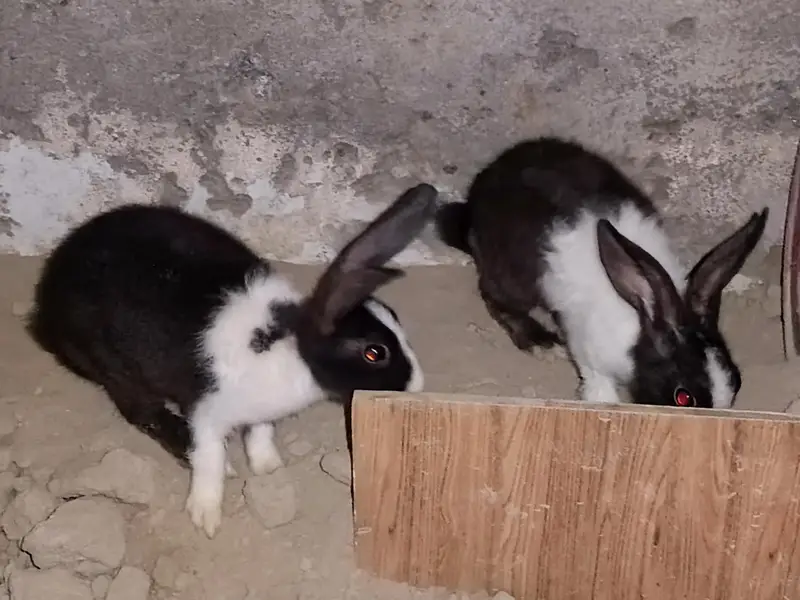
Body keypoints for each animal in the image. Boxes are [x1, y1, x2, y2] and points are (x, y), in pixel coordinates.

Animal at [27, 182, 438, 538]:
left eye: (396, 319)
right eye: (374, 352)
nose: (417, 385)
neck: (291, 347)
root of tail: (45, 310)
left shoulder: (260, 414)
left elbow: (260, 433)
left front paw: (268, 467)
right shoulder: (207, 413)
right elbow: (208, 458)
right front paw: (205, 514)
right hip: (117, 369)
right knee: (143, 413)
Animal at [435, 136, 768, 409]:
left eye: (736, 380)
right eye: (683, 397)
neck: (642, 318)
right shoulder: (587, 349)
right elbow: (596, 382)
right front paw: (601, 401)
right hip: (511, 279)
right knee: (493, 296)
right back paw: (540, 342)